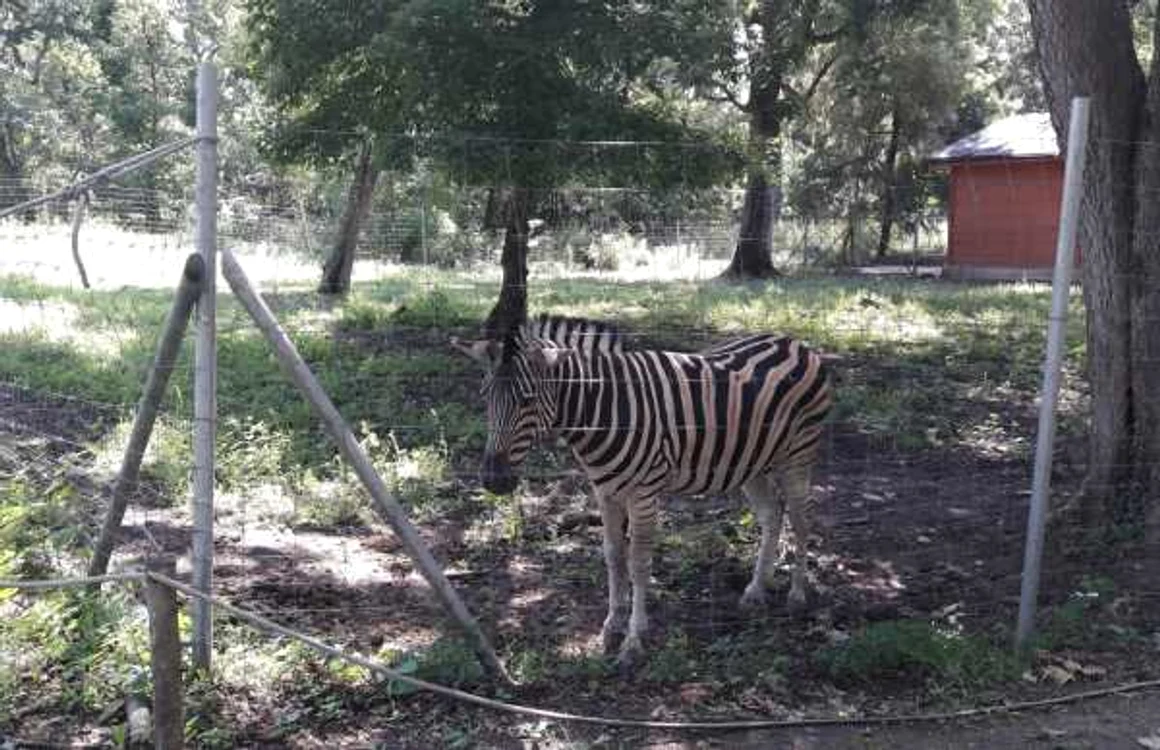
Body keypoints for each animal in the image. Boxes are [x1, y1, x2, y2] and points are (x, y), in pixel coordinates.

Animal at [452, 315, 832, 669]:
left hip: (797, 456)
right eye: (485, 397)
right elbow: (612, 555)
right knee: (772, 516)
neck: (605, 411)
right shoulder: (604, 491)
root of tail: (794, 342)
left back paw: (797, 594)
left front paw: (633, 639)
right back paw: (756, 590)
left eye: (527, 401)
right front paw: (610, 625)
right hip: (750, 463)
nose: (493, 481)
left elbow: (637, 563)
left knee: (801, 521)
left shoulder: (644, 494)